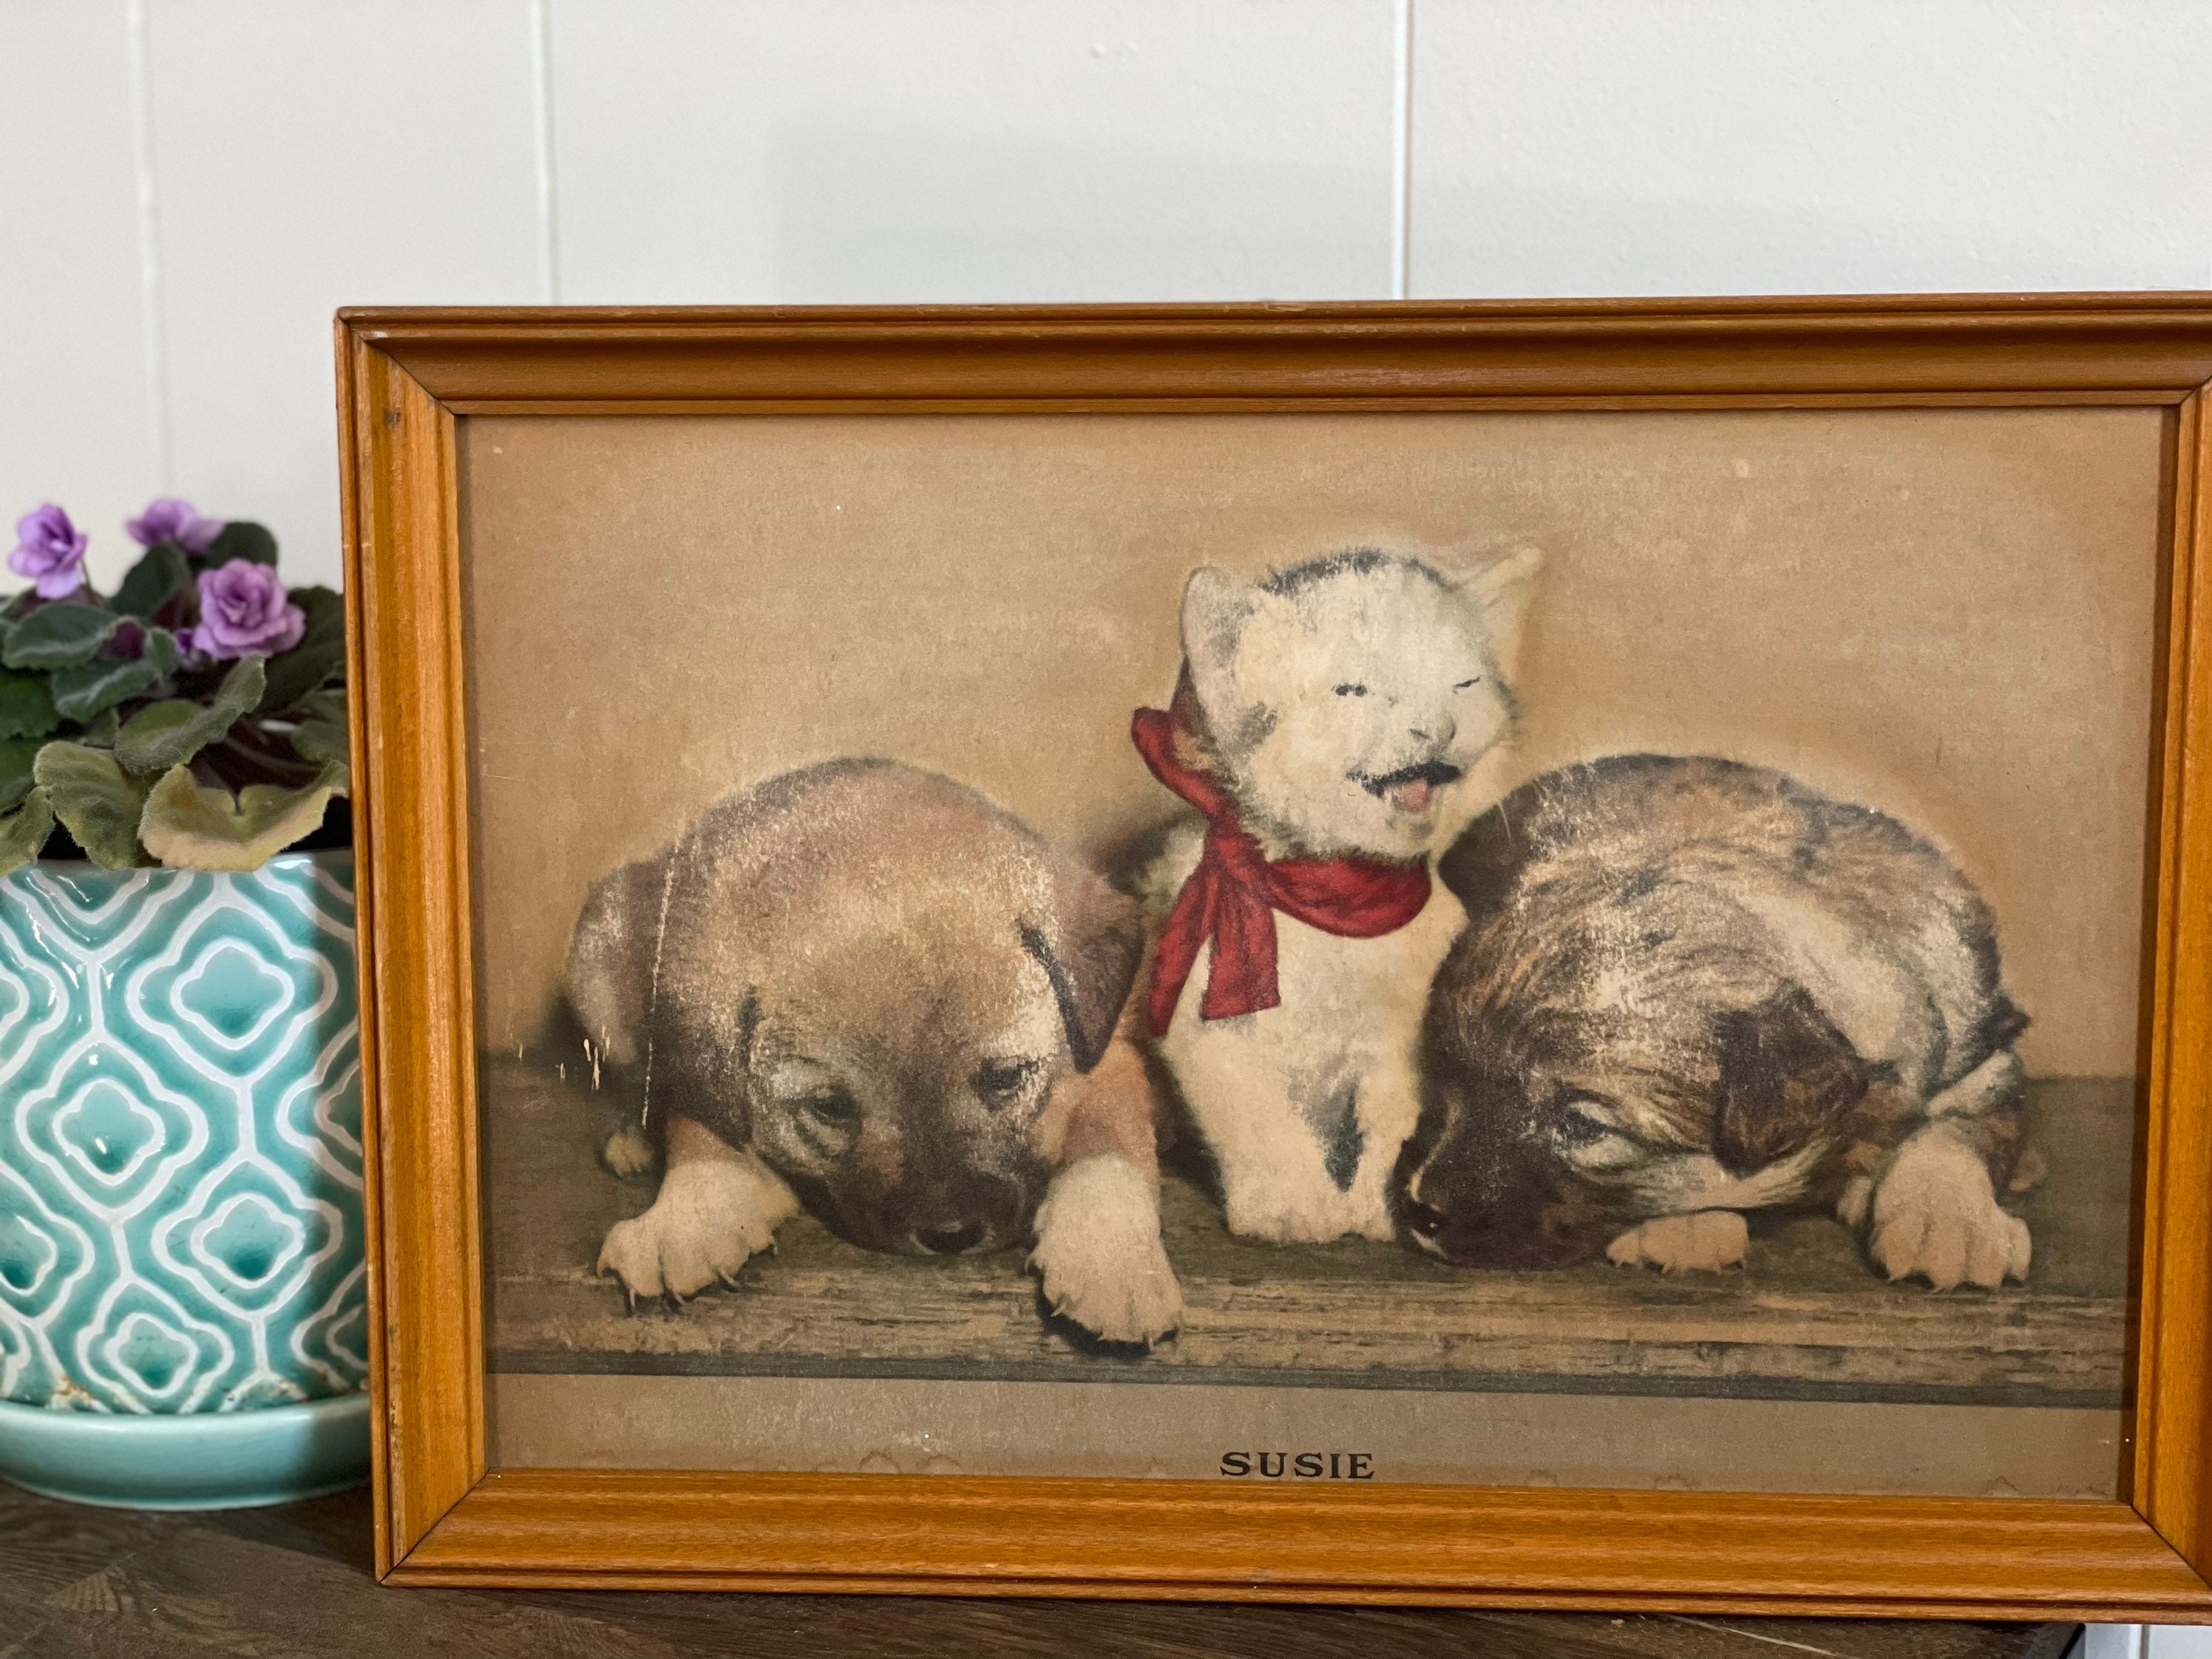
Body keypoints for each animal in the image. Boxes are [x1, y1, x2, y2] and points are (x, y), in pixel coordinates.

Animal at [561, 765, 1185, 1354]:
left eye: (1005, 1078)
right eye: (831, 1107)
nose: (951, 1235)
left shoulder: (1106, 1056)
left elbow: (1111, 1146)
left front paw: (1114, 1262)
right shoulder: (697, 1059)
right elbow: (700, 1134)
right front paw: (685, 1220)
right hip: (597, 960)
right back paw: (631, 1136)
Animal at [1132, 549, 1548, 1247]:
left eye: (1463, 685)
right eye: (1353, 691)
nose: (1436, 728)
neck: (1331, 903)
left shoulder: (1404, 1037)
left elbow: (1395, 1114)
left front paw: (1379, 1208)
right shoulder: (1210, 1026)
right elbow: (1258, 1116)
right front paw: (1292, 1204)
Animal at [1397, 756, 2035, 1300]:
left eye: (1580, 1126)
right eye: (1445, 1086)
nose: (1419, 1210)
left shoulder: (1981, 1058)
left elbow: (1957, 1132)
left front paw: (1948, 1224)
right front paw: (1683, 1228)